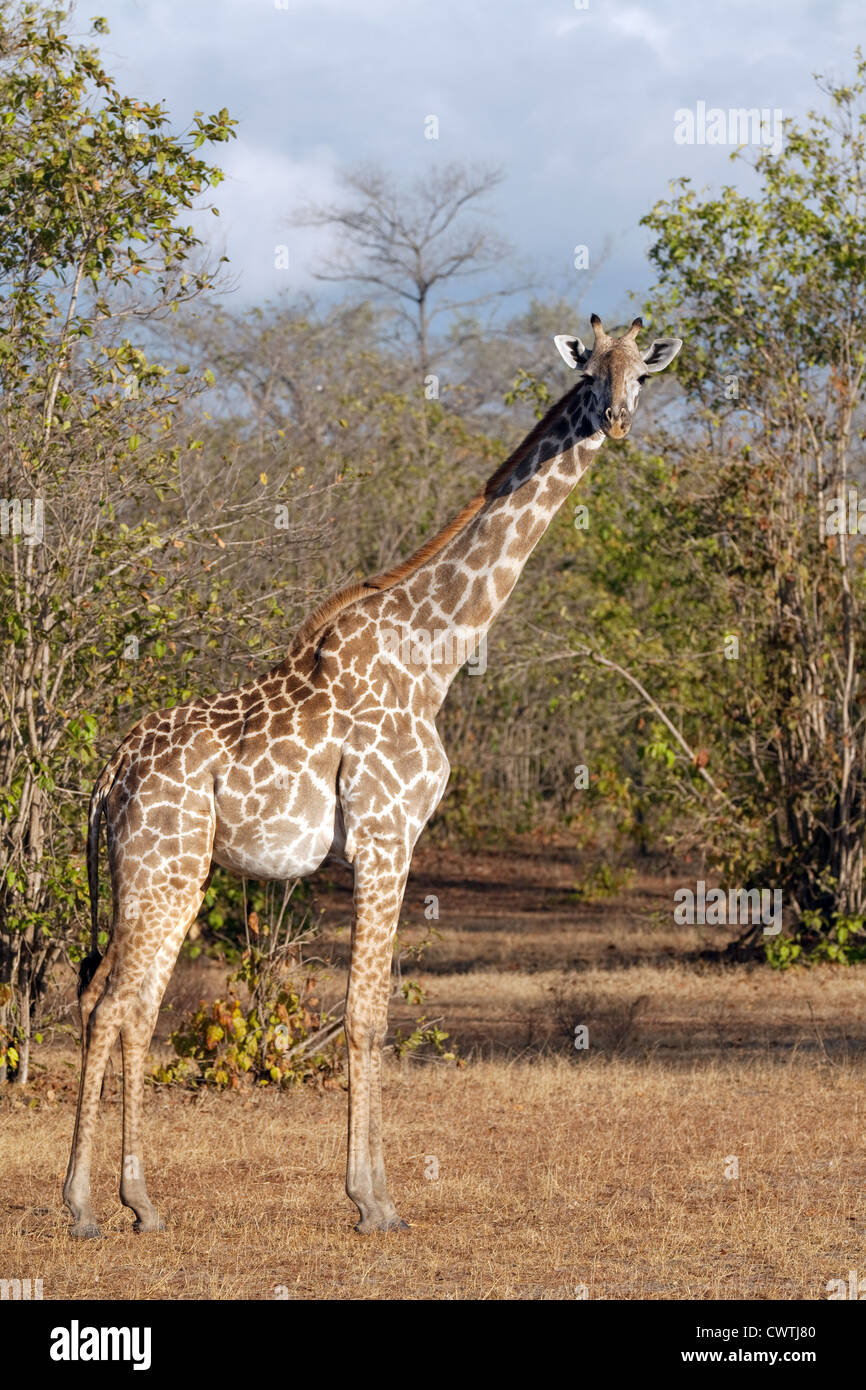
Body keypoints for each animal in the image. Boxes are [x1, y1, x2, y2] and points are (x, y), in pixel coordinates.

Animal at [62, 315, 683, 1239]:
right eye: (590, 371)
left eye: (642, 373)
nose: (615, 420)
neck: (435, 656)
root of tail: (109, 778)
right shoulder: (388, 839)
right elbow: (366, 1017)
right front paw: (373, 1202)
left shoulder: (388, 846)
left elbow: (364, 1013)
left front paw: (371, 1191)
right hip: (159, 866)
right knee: (110, 1004)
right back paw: (81, 1207)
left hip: (175, 871)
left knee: (130, 1007)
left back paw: (141, 1205)